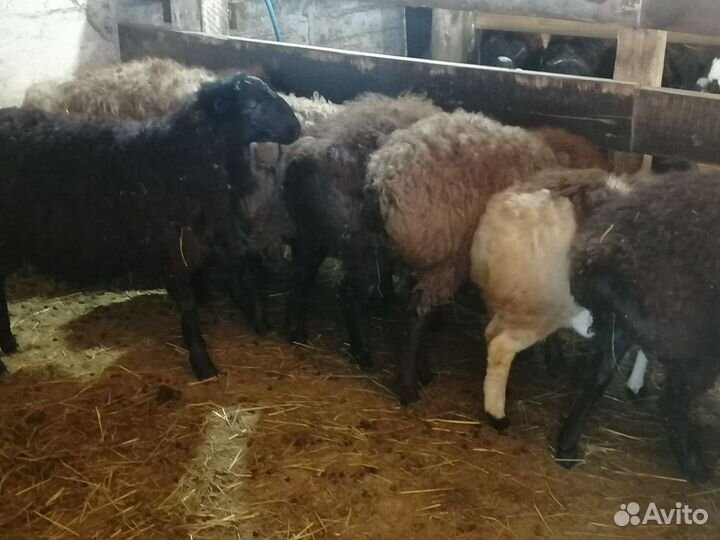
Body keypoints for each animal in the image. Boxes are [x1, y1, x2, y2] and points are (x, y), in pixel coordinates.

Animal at [0, 74, 301, 379]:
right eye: (252, 105)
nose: (295, 127)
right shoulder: (173, 247)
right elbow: (189, 305)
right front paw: (202, 361)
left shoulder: (216, 230)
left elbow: (242, 272)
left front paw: (259, 321)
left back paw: (9, 344)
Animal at [282, 93, 441, 368]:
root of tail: (306, 158)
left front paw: (388, 299)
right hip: (359, 243)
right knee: (350, 292)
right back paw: (362, 352)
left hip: (312, 234)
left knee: (302, 274)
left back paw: (296, 332)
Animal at [557, 170, 720, 483]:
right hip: (694, 337)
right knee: (672, 400)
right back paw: (695, 467)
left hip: (625, 323)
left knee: (597, 376)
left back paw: (566, 447)